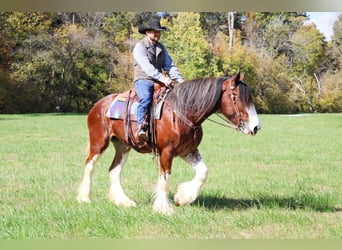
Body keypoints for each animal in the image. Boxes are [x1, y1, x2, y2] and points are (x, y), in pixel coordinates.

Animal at [76, 72, 260, 215]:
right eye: (235, 97)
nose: (256, 127)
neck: (182, 112)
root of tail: (99, 104)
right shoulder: (167, 152)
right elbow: (165, 178)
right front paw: (164, 208)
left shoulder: (189, 151)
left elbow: (203, 173)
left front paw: (182, 198)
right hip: (99, 142)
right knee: (89, 165)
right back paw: (84, 198)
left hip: (123, 146)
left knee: (114, 170)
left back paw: (124, 201)